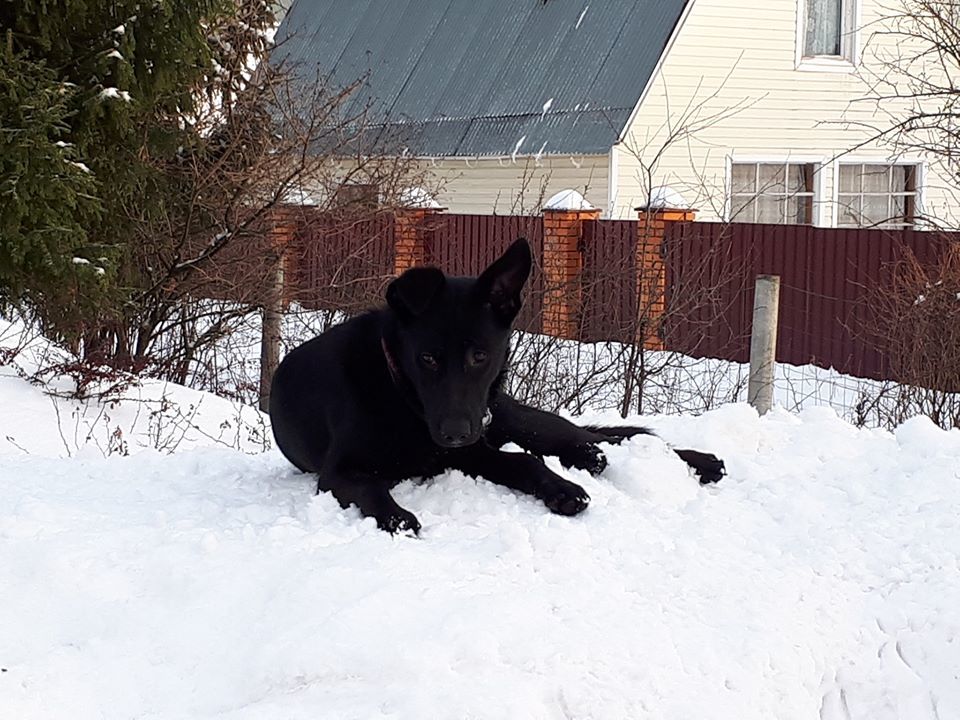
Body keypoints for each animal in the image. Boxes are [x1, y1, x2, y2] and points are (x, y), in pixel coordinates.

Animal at [266, 239, 724, 532]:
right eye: (427, 358)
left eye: (480, 356)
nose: (455, 433)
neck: (400, 394)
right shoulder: (339, 472)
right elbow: (371, 488)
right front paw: (397, 516)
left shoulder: (468, 451)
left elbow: (525, 463)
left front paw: (561, 488)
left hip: (515, 420)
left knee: (600, 439)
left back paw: (698, 461)